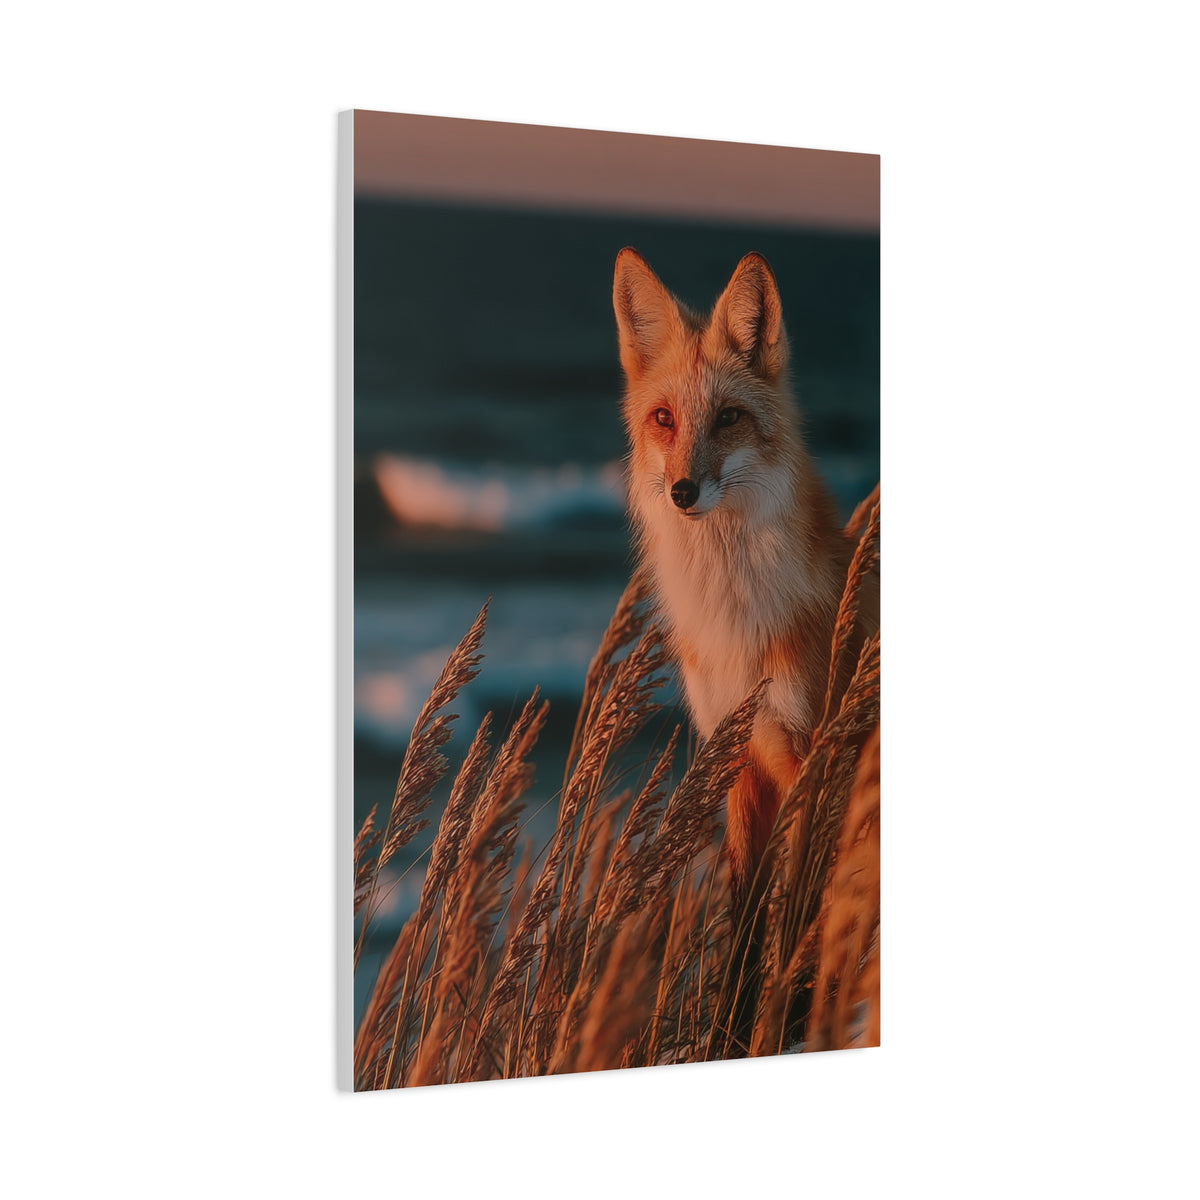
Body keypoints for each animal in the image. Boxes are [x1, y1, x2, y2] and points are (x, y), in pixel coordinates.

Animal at [613, 247, 878, 907]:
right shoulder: (734, 758)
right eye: (664, 419)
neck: (735, 622)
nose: (683, 492)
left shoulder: (811, 760)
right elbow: (745, 918)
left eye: (728, 417)